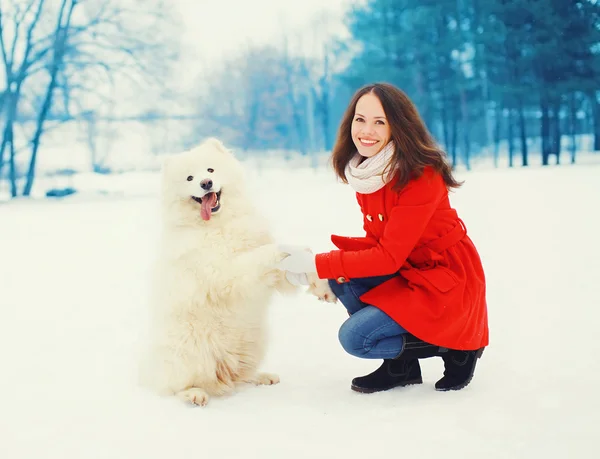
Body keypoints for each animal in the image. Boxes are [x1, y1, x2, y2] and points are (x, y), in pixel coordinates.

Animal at [139, 138, 328, 408]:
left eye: (210, 170)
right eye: (189, 178)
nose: (206, 183)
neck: (220, 224)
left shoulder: (272, 275)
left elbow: (293, 264)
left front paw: (320, 284)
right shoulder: (225, 273)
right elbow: (266, 253)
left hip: (256, 341)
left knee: (241, 375)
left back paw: (262, 376)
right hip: (189, 352)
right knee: (175, 387)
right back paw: (194, 394)